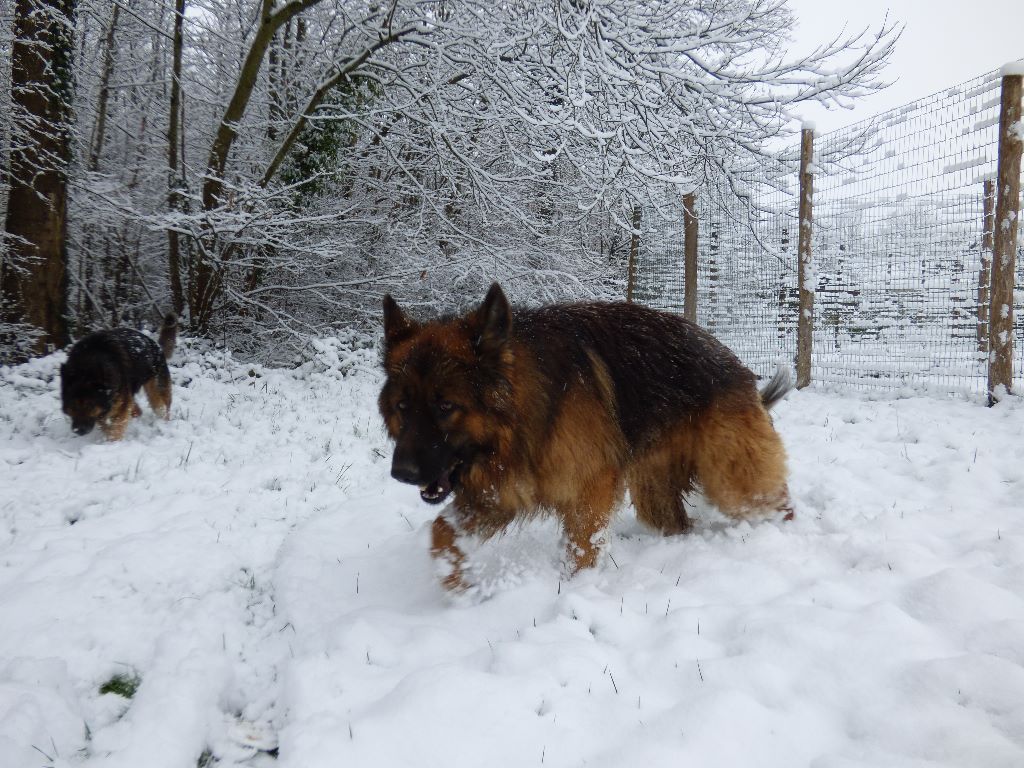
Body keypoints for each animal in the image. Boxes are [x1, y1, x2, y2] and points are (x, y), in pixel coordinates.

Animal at [382, 286, 790, 593]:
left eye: (446, 405)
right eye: (402, 406)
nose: (401, 473)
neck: (527, 408)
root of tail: (736, 365)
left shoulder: (589, 491)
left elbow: (580, 551)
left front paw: (575, 590)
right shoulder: (505, 489)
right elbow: (441, 531)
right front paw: (456, 584)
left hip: (735, 483)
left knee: (772, 503)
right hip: (655, 490)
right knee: (674, 521)